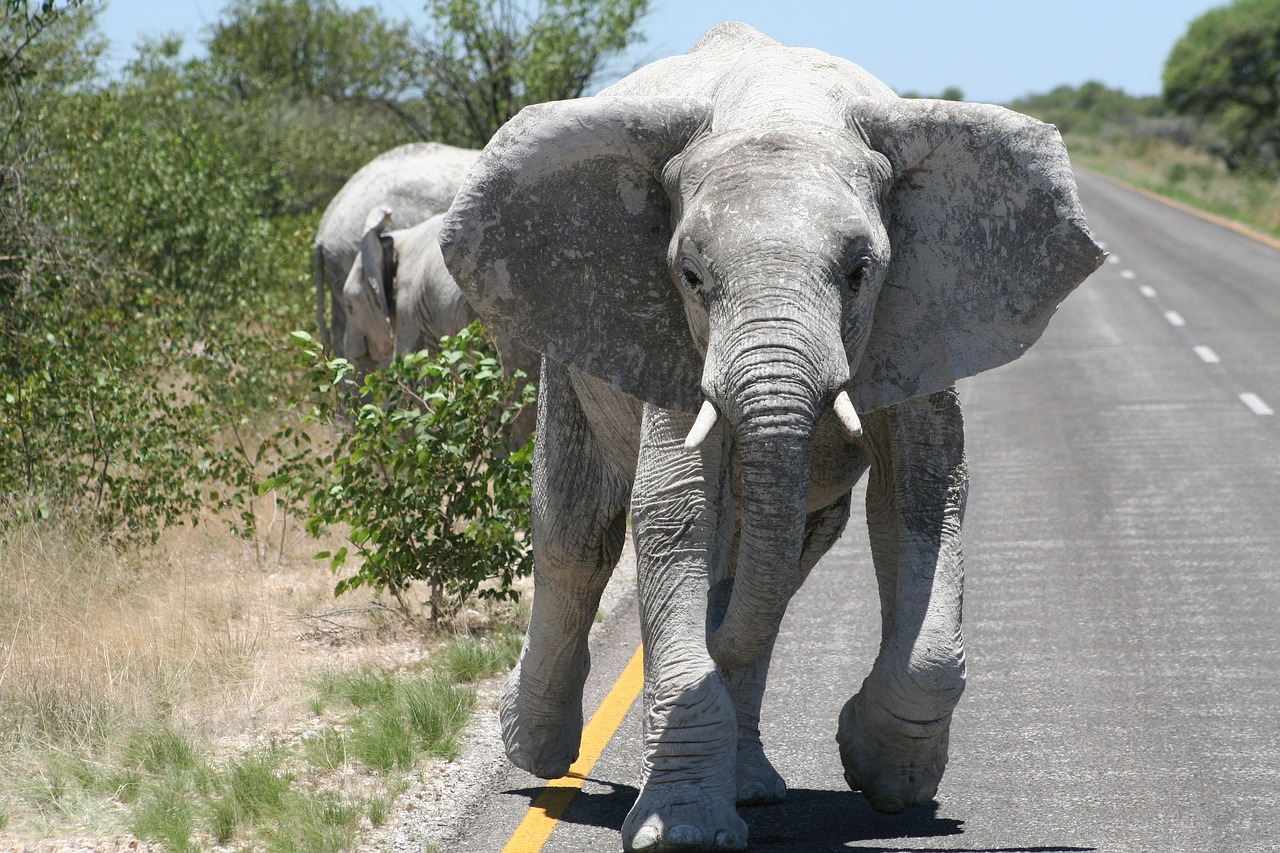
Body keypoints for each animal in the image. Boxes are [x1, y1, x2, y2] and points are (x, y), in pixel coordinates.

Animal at [437, 21, 1100, 850]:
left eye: (859, 271)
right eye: (691, 276)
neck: (783, 104)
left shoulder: (922, 309)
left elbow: (924, 493)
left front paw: (885, 775)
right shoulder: (666, 330)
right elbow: (674, 511)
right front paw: (683, 832)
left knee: (778, 573)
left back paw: (751, 779)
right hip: (567, 341)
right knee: (577, 534)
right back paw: (539, 747)